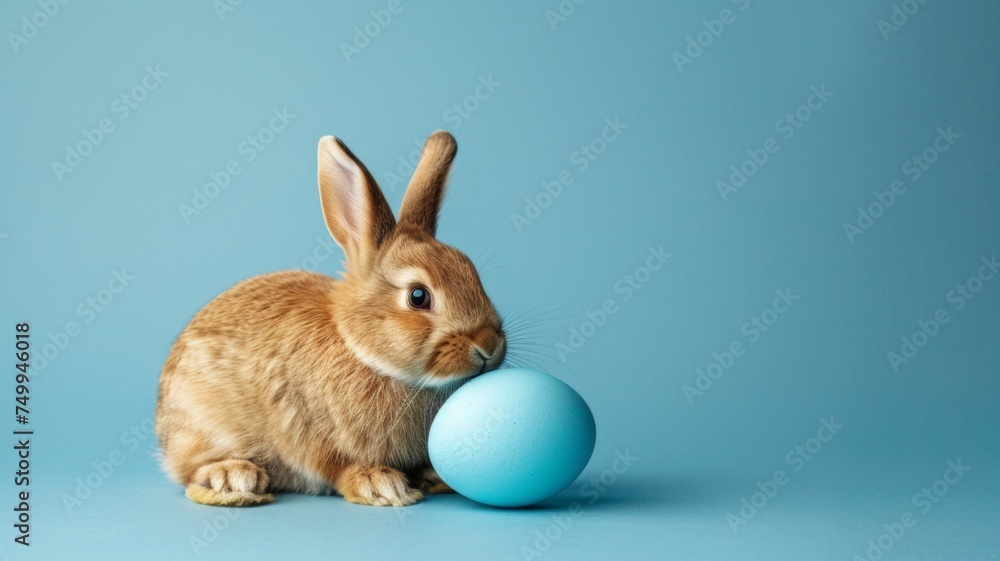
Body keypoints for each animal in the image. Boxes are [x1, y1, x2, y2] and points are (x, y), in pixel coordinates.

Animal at [155, 131, 506, 507]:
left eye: (471, 271)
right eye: (418, 296)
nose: (488, 345)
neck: (364, 353)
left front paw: (429, 477)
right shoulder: (309, 431)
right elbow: (336, 466)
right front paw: (380, 485)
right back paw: (233, 477)